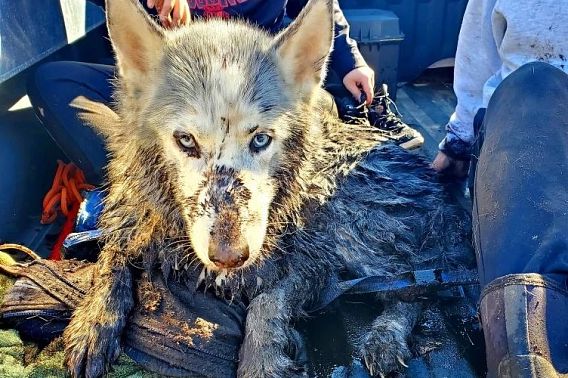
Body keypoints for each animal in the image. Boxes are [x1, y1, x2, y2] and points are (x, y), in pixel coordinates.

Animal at [61, 0, 470, 376]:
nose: (229, 257)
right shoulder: (132, 220)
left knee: (416, 281)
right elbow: (110, 261)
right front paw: (94, 322)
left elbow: (266, 307)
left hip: (348, 216)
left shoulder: (309, 261)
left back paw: (385, 337)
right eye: (185, 140)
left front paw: (261, 359)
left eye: (261, 139)